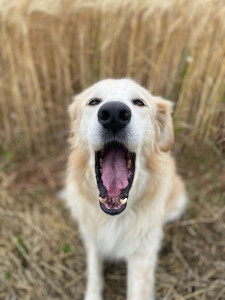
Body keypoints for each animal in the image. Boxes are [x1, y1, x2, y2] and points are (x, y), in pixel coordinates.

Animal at [64, 78, 187, 298]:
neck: (114, 217)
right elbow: (94, 274)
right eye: (93, 102)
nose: (114, 114)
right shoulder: (93, 238)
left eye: (139, 102)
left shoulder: (142, 255)